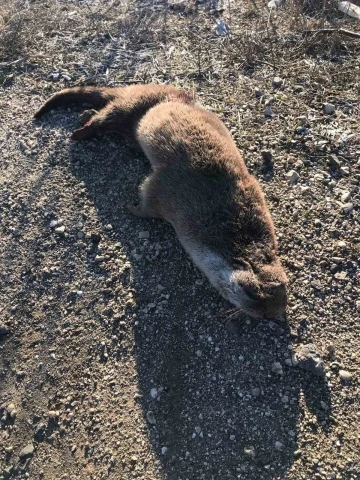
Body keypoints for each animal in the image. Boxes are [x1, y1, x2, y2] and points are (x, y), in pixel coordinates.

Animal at [33, 85, 286, 320]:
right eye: (252, 292)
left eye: (282, 298)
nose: (271, 316)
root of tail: (138, 86)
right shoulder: (168, 195)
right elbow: (146, 199)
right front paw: (131, 208)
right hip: (131, 106)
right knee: (105, 116)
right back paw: (80, 131)